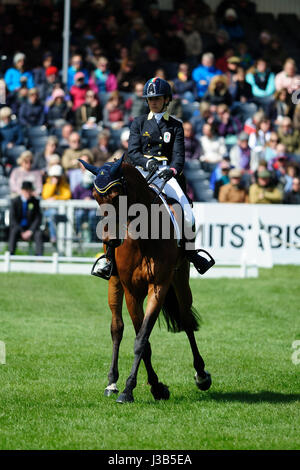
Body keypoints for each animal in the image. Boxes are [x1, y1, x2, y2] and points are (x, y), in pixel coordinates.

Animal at [79, 156, 211, 402]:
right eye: (95, 197)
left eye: (116, 196)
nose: (110, 240)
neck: (144, 237)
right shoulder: (131, 291)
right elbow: (142, 340)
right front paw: (149, 387)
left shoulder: (158, 286)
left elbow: (142, 339)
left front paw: (135, 389)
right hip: (114, 283)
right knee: (117, 328)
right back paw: (111, 383)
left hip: (181, 279)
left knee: (186, 320)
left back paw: (201, 375)